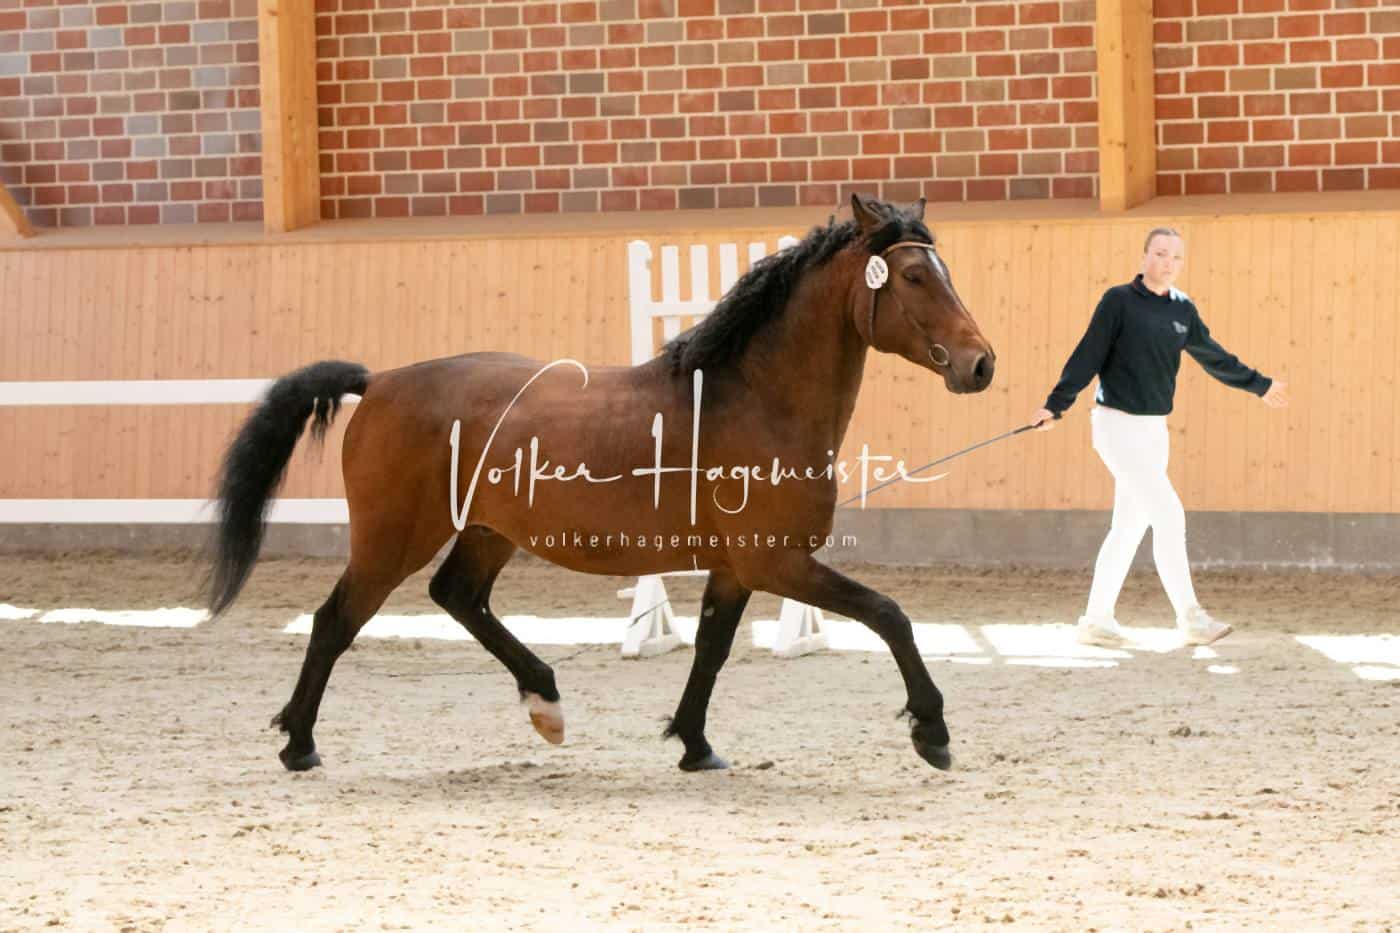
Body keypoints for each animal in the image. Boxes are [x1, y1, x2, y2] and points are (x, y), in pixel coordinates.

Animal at [207, 193, 996, 774]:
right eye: (914, 278)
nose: (980, 364)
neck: (751, 399)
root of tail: (380, 382)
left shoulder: (737, 568)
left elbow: (711, 649)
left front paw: (695, 746)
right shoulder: (778, 562)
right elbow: (889, 614)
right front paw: (932, 730)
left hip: (488, 532)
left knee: (457, 596)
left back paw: (545, 702)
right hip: (392, 539)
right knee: (335, 620)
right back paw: (300, 745)